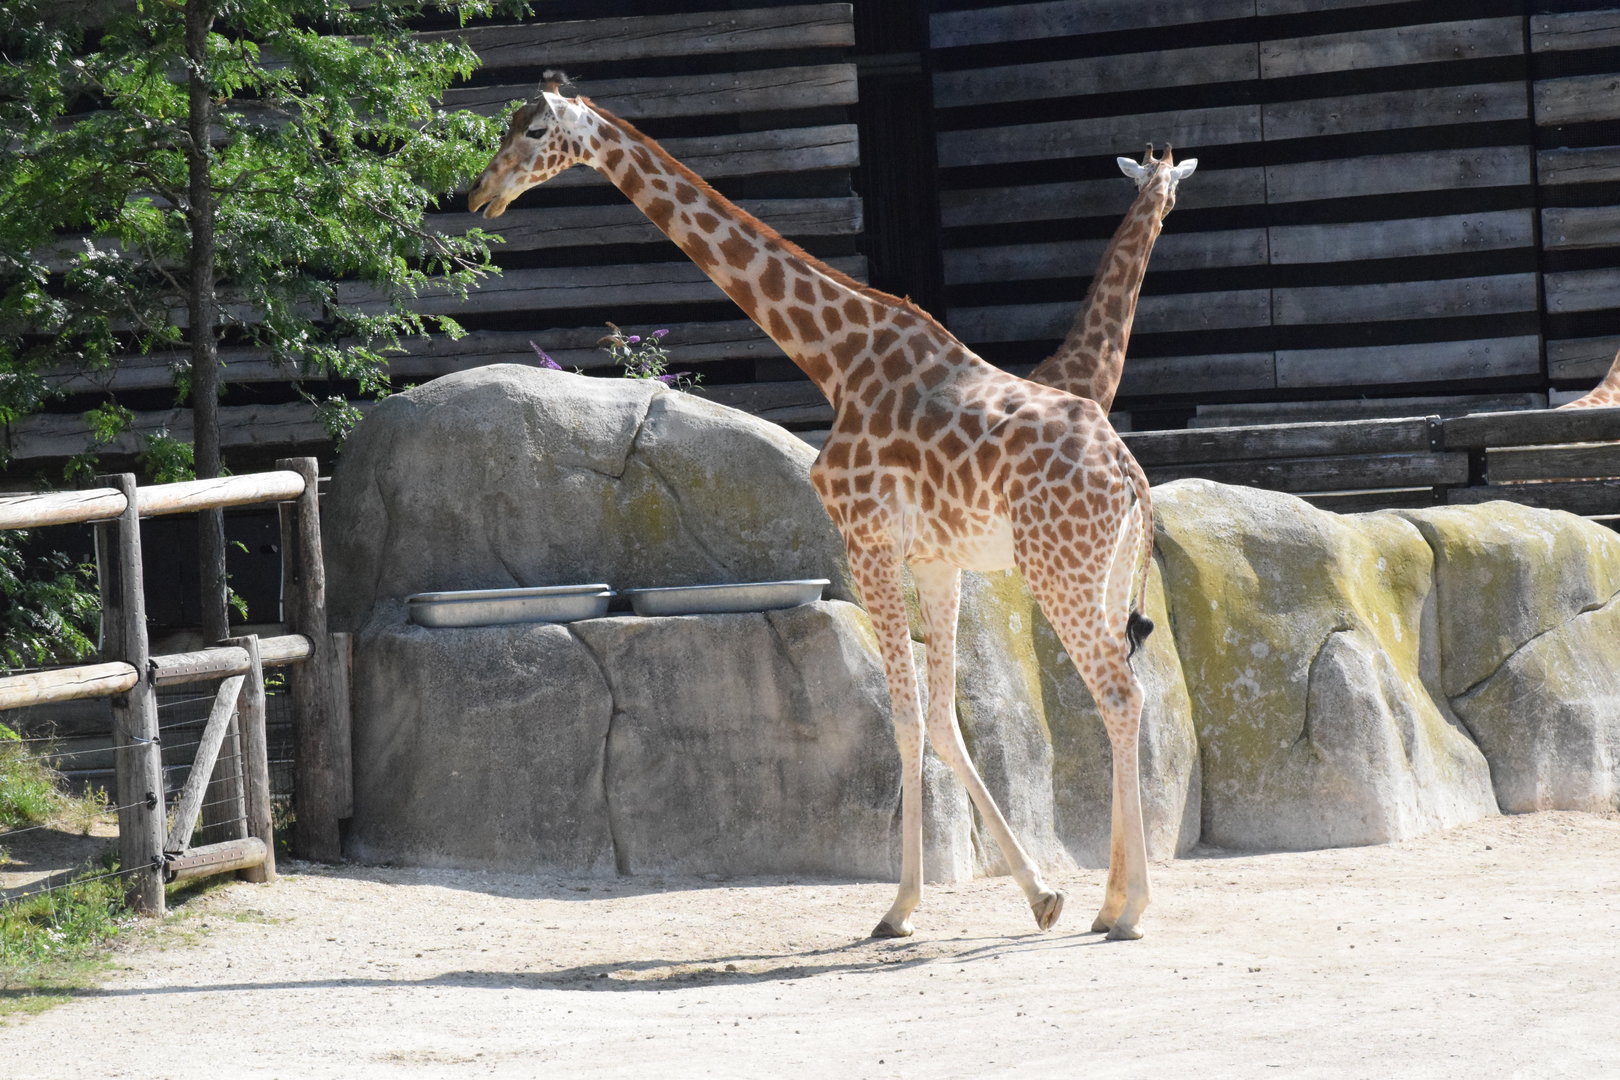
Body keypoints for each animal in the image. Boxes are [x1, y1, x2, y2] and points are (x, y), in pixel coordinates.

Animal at [470, 81, 1159, 940]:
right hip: (1100, 570)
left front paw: (898, 908)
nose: (480, 194)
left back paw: (1130, 910)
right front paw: (1041, 895)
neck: (837, 357)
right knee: (1126, 698)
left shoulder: (867, 541)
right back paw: (1109, 901)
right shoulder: (937, 559)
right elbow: (943, 716)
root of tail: (1129, 473)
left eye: (534, 130)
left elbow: (905, 717)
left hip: (1058, 566)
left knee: (1119, 694)